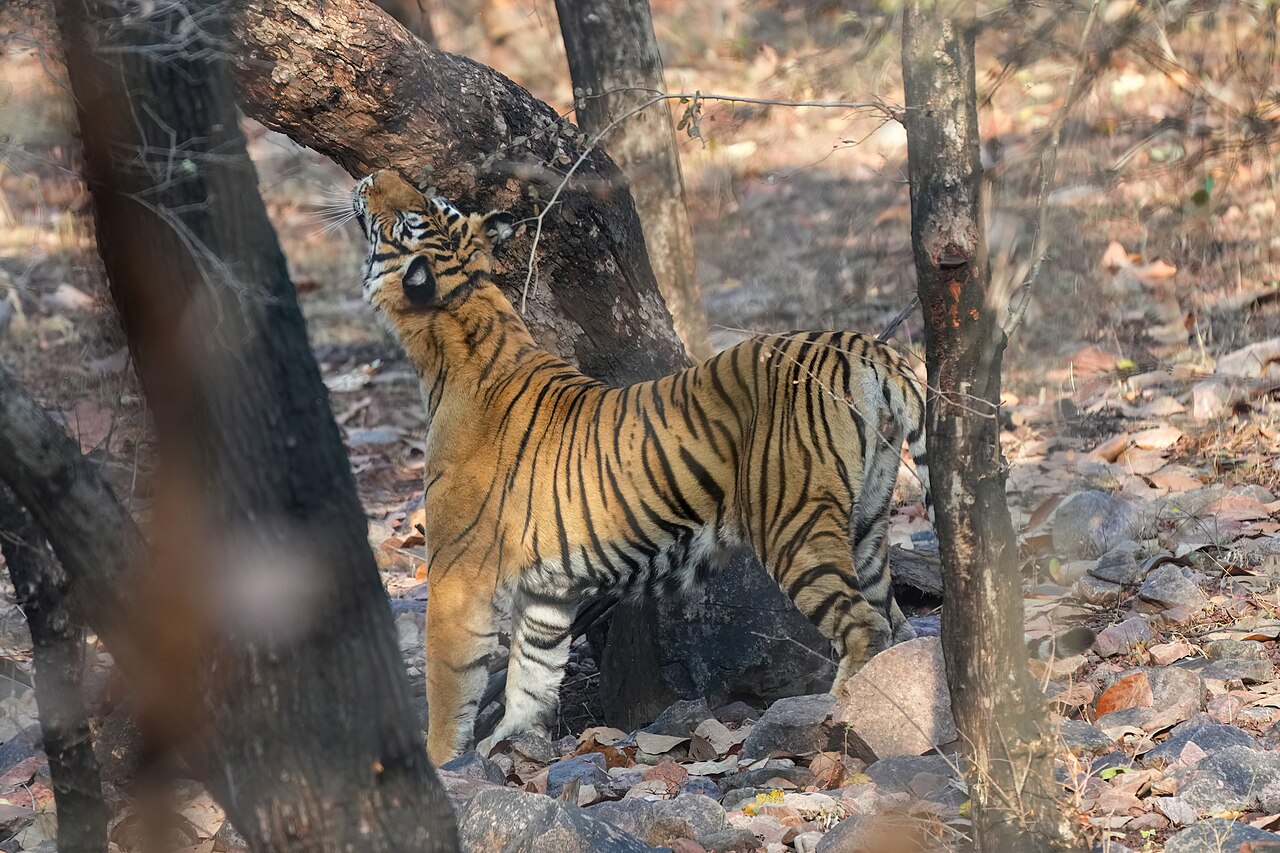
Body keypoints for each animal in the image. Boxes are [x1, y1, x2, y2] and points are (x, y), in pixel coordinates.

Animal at [353, 169, 932, 764]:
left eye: (411, 216)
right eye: (431, 202)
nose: (373, 176)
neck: (465, 316)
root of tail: (864, 346)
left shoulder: (457, 574)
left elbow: (450, 681)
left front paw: (442, 761)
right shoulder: (548, 594)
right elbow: (532, 672)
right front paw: (515, 740)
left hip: (794, 524)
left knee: (863, 625)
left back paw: (834, 712)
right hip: (868, 520)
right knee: (894, 621)